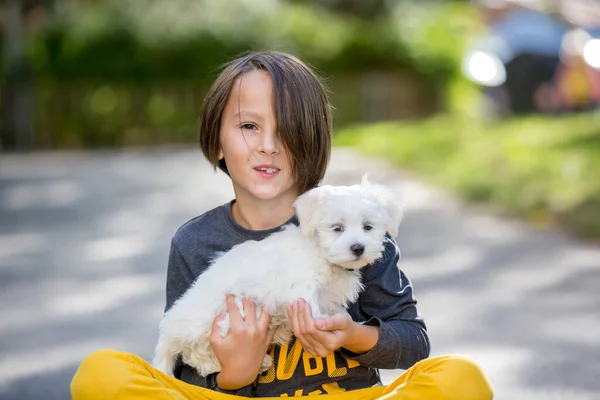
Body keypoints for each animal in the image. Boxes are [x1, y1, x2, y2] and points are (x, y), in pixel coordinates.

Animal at [152, 178, 400, 378]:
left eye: (368, 227)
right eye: (337, 228)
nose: (358, 247)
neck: (322, 253)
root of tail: (171, 329)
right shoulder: (303, 285)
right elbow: (311, 305)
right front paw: (320, 322)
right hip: (225, 316)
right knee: (199, 355)